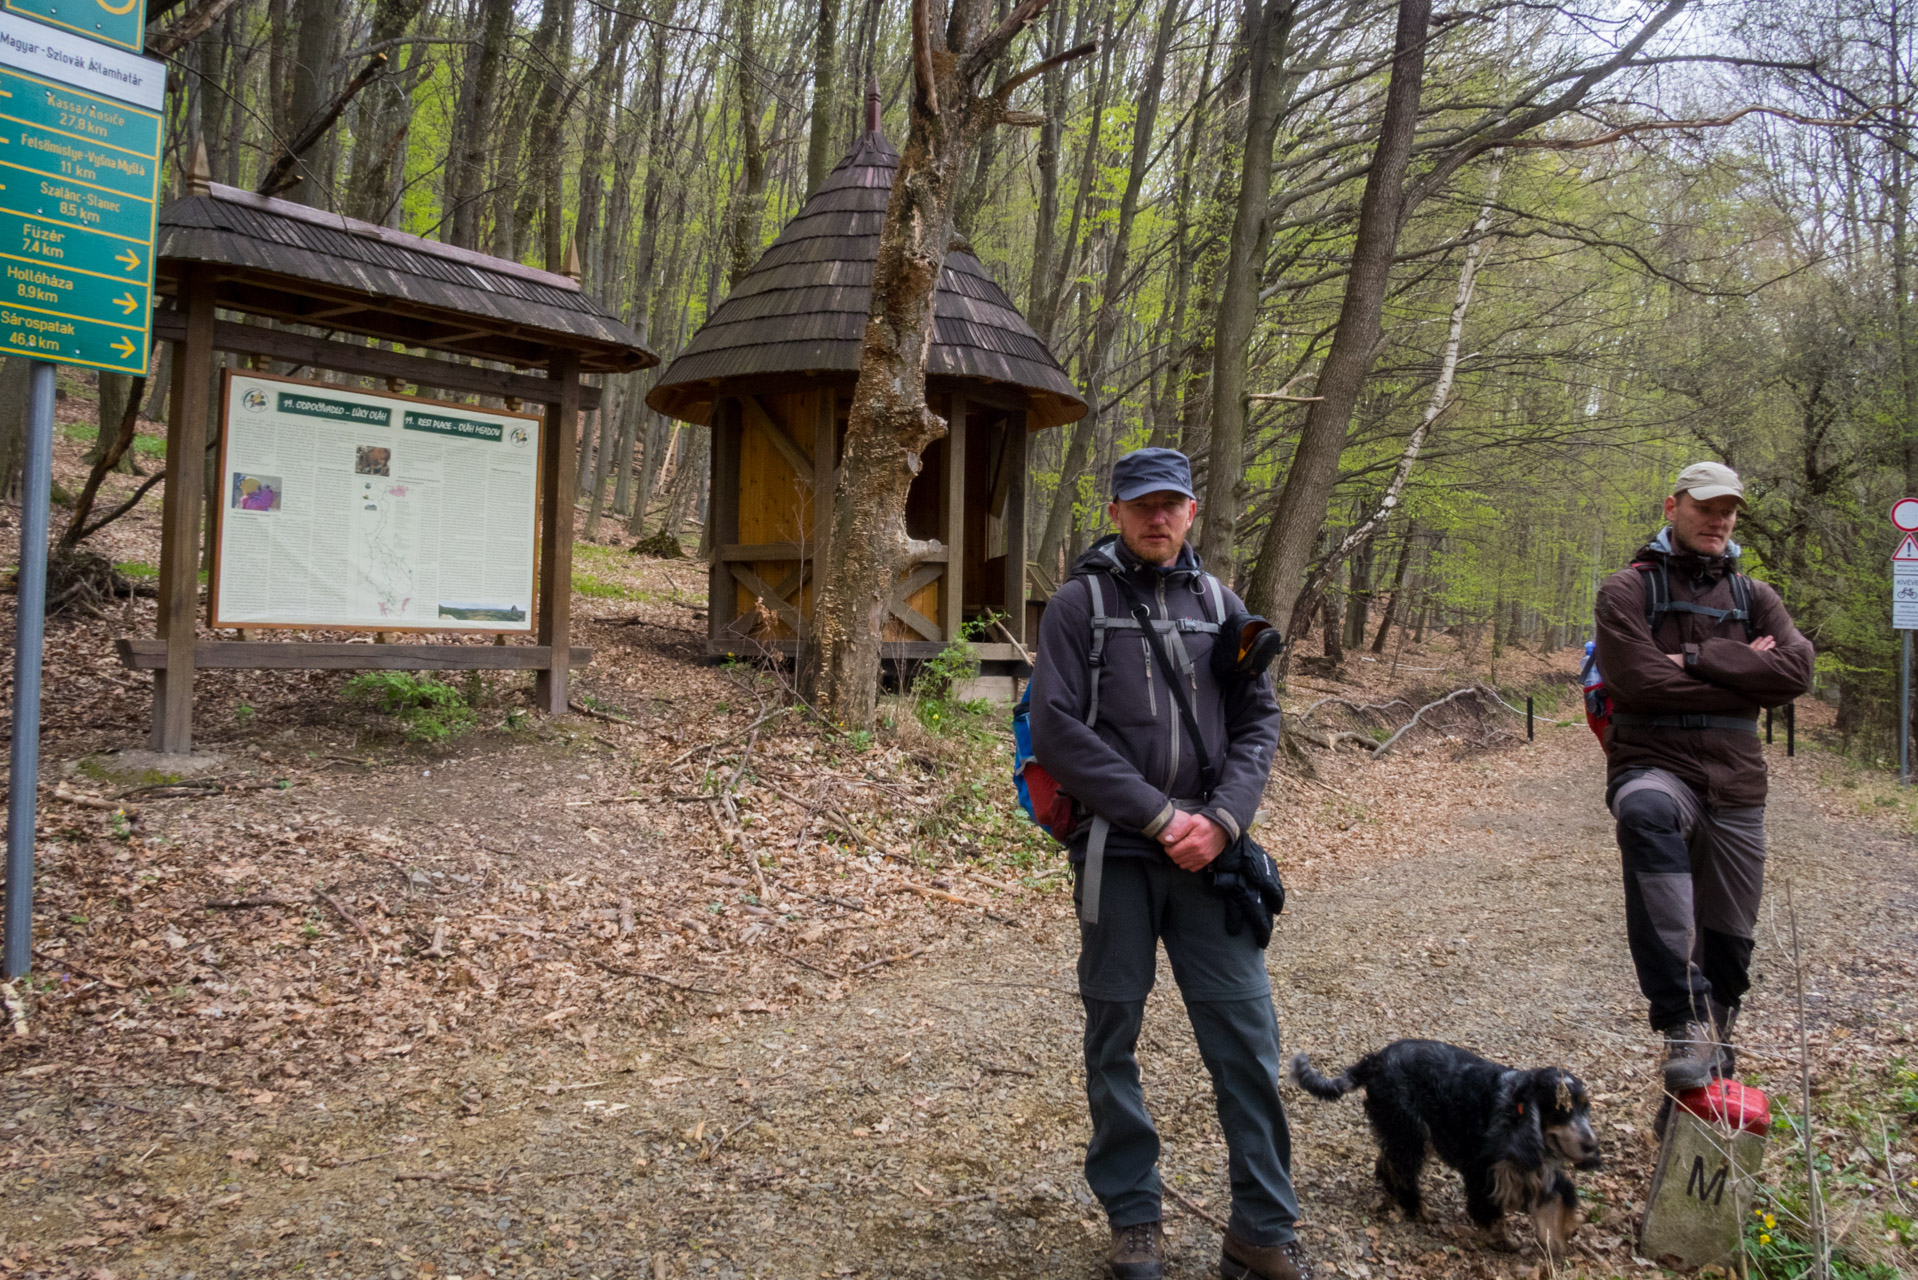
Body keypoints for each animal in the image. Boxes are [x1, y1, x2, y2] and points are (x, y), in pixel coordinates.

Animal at [1288, 1043, 1603, 1251]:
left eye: (1585, 1107)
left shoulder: (1530, 1168)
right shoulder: (1483, 1169)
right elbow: (1489, 1210)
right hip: (1411, 1130)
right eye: (1561, 1109)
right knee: (1403, 1172)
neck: (1517, 1110)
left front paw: (1561, 1235)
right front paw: (1501, 1241)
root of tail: (1375, 1059)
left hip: (1406, 1131)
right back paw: (1418, 1209)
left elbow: (1561, 1194)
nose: (1591, 1145)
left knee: (1388, 1161)